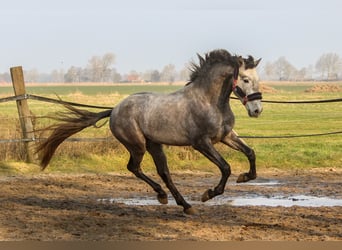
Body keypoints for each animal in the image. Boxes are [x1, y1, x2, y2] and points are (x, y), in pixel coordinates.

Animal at [36, 49, 262, 215]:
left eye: (257, 78)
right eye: (245, 79)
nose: (257, 110)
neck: (209, 101)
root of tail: (114, 109)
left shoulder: (226, 136)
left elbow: (250, 153)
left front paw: (245, 177)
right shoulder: (201, 143)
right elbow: (225, 167)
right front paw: (209, 194)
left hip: (155, 145)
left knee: (164, 173)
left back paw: (184, 205)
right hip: (137, 145)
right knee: (134, 168)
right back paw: (164, 196)